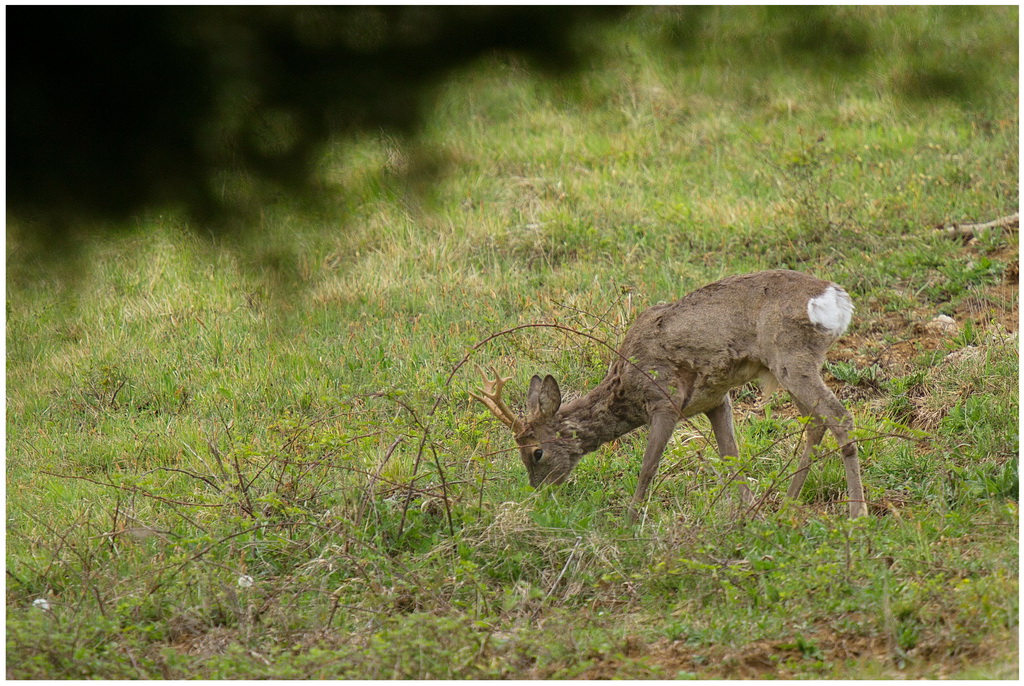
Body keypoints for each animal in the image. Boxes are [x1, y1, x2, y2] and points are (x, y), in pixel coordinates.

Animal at [471, 268, 864, 522]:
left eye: (535, 452)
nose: (539, 492)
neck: (625, 386)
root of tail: (836, 299)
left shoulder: (665, 400)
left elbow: (648, 468)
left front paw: (630, 522)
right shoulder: (716, 400)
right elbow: (731, 457)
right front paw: (749, 513)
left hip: (790, 356)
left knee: (840, 416)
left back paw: (856, 512)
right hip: (788, 367)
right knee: (816, 422)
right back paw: (788, 504)